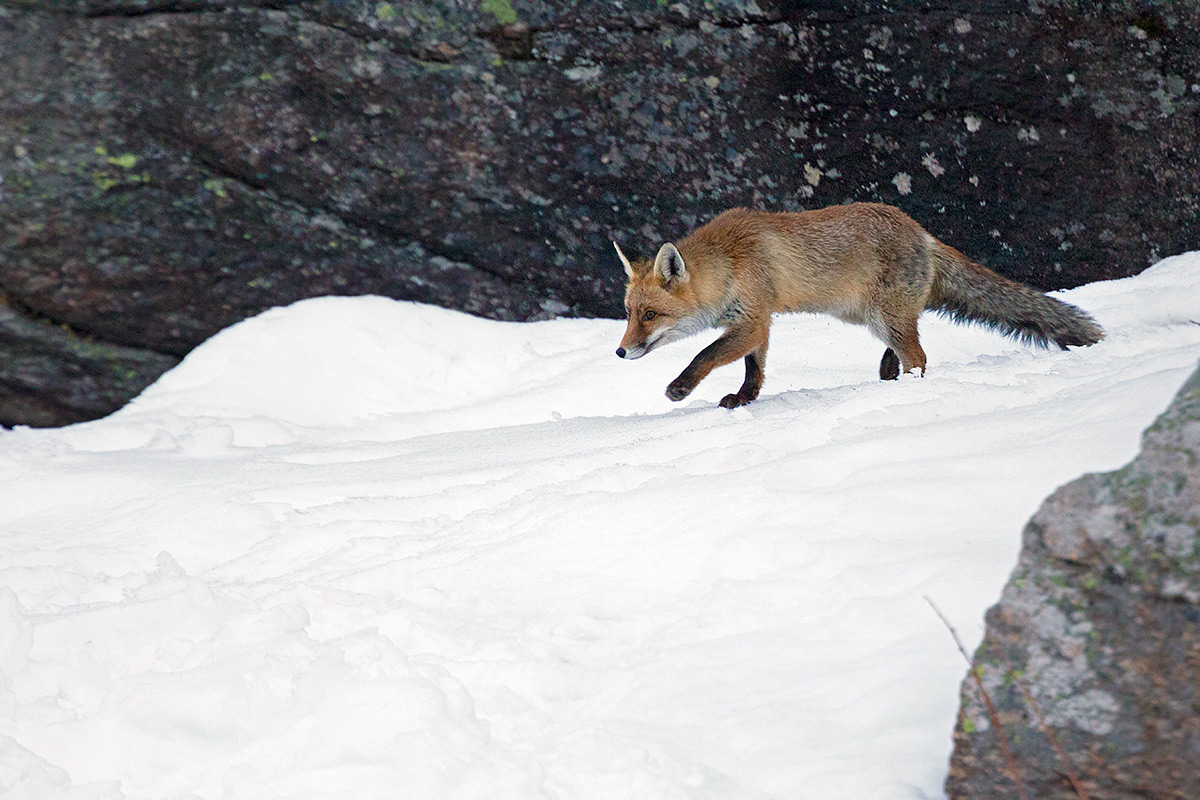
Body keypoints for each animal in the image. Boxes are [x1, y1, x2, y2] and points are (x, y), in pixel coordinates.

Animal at [613, 202, 1104, 408]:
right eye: (629, 313)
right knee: (906, 346)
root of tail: (923, 232)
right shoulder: (759, 320)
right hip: (869, 316)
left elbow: (705, 354)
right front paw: (744, 400)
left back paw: (906, 386)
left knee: (920, 357)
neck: (730, 260)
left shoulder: (752, 319)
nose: (619, 351)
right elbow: (755, 368)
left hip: (885, 317)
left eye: (651, 315)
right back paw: (887, 373)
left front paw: (680, 388)